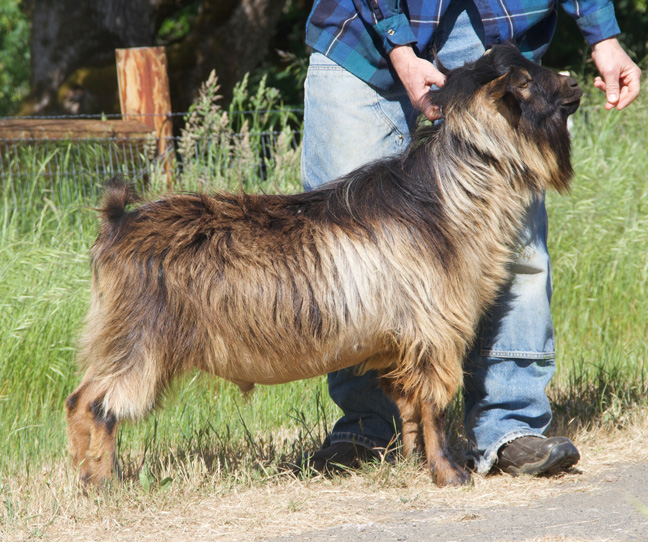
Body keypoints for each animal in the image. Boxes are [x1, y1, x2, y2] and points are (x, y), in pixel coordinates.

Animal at [66, 45, 584, 488]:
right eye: (527, 81)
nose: (576, 82)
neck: (447, 195)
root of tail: (118, 223)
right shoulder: (434, 330)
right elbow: (434, 404)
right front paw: (449, 474)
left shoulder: (401, 343)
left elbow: (410, 408)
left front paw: (412, 462)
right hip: (137, 338)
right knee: (94, 403)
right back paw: (101, 483)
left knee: (82, 401)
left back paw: (86, 476)